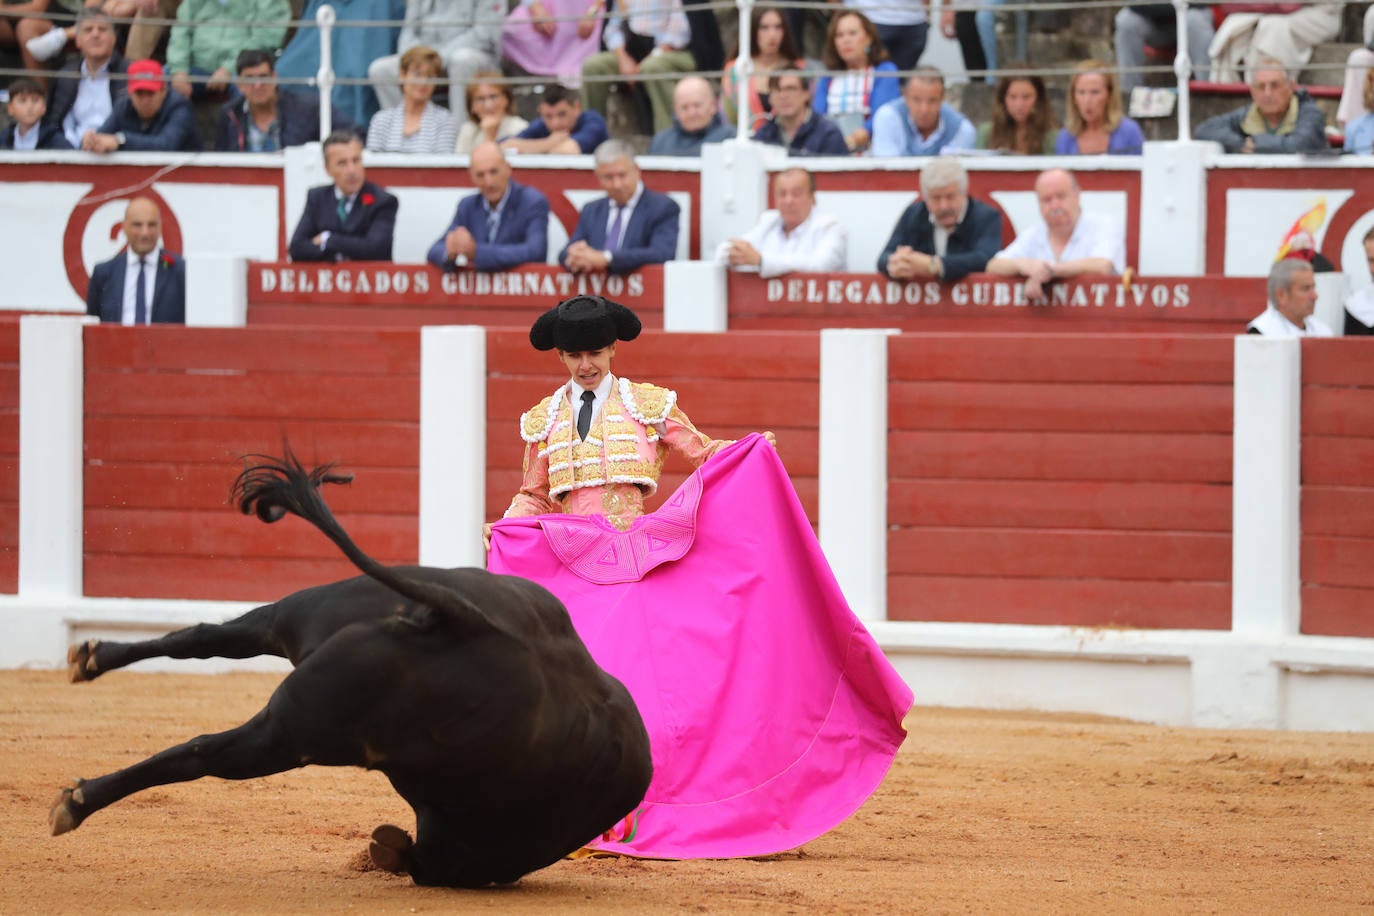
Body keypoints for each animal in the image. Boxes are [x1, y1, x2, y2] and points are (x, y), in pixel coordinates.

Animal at [50, 455, 651, 889]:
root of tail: (467, 620)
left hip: (305, 626)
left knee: (201, 648)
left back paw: (91, 663)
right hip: (305, 729)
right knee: (201, 750)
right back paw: (76, 802)